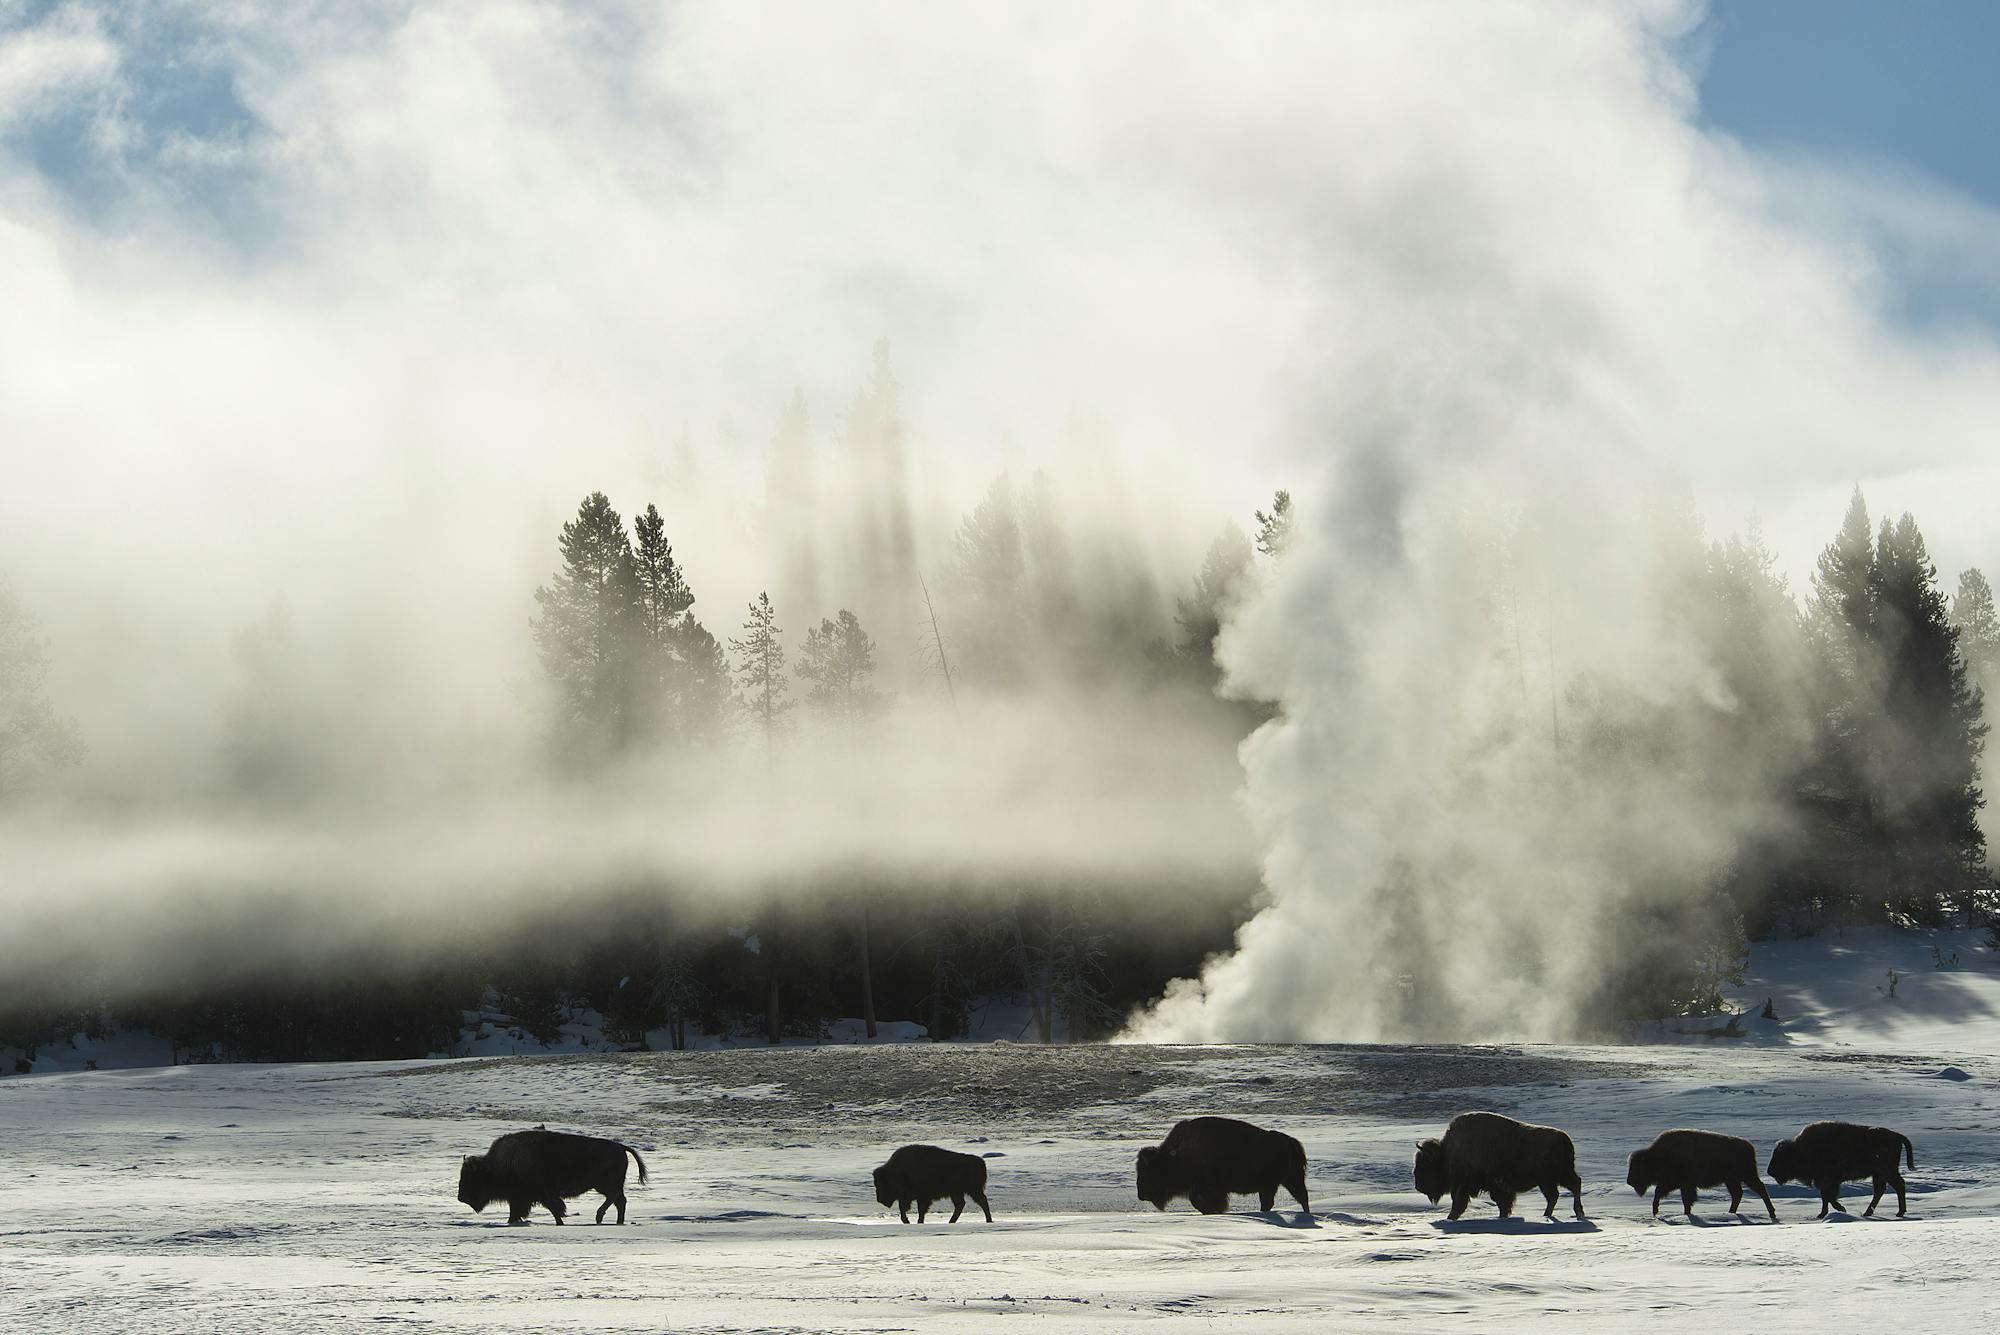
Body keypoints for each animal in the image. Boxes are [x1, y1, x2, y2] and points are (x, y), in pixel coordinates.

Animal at [457, 1128, 648, 1225]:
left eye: (472, 1178)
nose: (461, 1197)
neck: (497, 1164)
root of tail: (621, 1147)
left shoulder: (539, 1195)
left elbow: (554, 1209)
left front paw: (560, 1222)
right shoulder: (519, 1198)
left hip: (605, 1185)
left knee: (615, 1199)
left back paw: (599, 1217)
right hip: (607, 1186)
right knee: (619, 1201)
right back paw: (613, 1220)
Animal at [1135, 1116, 1310, 1215]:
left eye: (1148, 1172)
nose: (1141, 1194)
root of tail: (1289, 1141)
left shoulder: (1206, 1186)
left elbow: (1196, 1200)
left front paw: (1213, 1210)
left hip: (1273, 1183)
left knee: (1276, 1201)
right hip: (1289, 1180)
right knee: (1300, 1197)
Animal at [1414, 1111, 1585, 1221]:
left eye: (1424, 1165)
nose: (1418, 1186)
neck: (1446, 1152)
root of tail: (1564, 1138)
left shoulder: (1466, 1185)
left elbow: (1460, 1202)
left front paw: (1450, 1217)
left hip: (1552, 1178)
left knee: (1567, 1189)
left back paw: (1573, 1214)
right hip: (1554, 1178)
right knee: (1561, 1192)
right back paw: (1551, 1215)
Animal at [1626, 1129, 1775, 1220]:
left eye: (1638, 1167)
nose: (1629, 1181)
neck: (1659, 1156)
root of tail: (1749, 1146)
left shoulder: (1682, 1184)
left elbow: (1683, 1199)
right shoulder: (1676, 1184)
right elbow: (1675, 1198)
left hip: (1746, 1176)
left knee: (1759, 1189)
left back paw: (1771, 1213)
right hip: (1731, 1180)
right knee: (1738, 1194)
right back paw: (1730, 1213)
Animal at [1766, 1121, 1915, 1219]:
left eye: (1779, 1157)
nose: (1769, 1171)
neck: (1800, 1150)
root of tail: (1896, 1135)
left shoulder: (1828, 1181)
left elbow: (1828, 1196)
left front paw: (1839, 1209)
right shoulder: (1827, 1182)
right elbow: (1825, 1197)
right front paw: (1824, 1213)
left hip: (1885, 1171)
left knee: (1896, 1186)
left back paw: (1898, 1212)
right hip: (1879, 1174)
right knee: (1882, 1190)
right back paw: (1870, 1212)